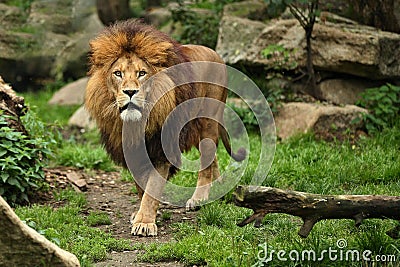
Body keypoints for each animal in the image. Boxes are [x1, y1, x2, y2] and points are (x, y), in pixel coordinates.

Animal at [86, 19, 245, 238]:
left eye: (142, 73)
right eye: (117, 73)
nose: (130, 92)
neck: (137, 123)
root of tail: (215, 54)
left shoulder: (161, 149)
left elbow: (152, 188)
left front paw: (144, 223)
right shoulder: (134, 150)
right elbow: (141, 186)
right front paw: (139, 214)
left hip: (208, 120)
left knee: (206, 159)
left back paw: (199, 198)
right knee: (212, 157)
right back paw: (219, 186)